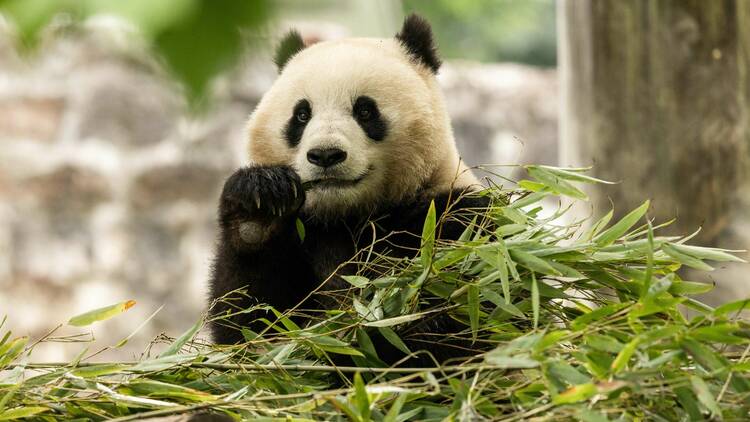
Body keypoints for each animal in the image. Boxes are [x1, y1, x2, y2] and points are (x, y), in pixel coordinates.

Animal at [210, 13, 494, 362]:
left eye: (365, 110)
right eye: (301, 114)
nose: (325, 155)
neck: (348, 215)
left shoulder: (454, 218)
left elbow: (458, 312)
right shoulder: (304, 235)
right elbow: (247, 324)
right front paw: (259, 205)